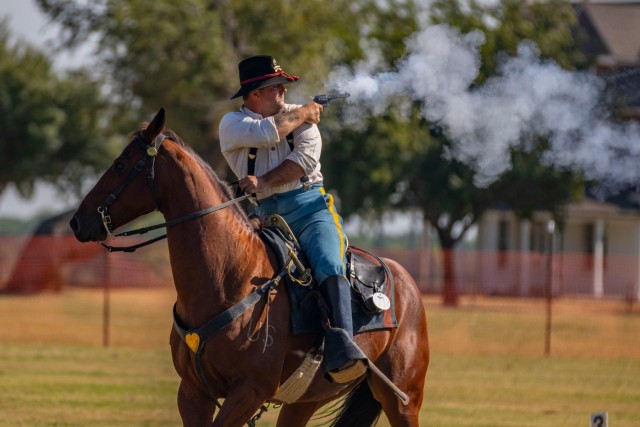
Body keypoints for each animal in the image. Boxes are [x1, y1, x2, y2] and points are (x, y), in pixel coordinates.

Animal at [70, 108, 428, 426]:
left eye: (120, 164)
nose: (77, 221)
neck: (229, 280)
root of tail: (405, 280)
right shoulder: (192, 392)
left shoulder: (249, 392)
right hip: (305, 402)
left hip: (402, 399)